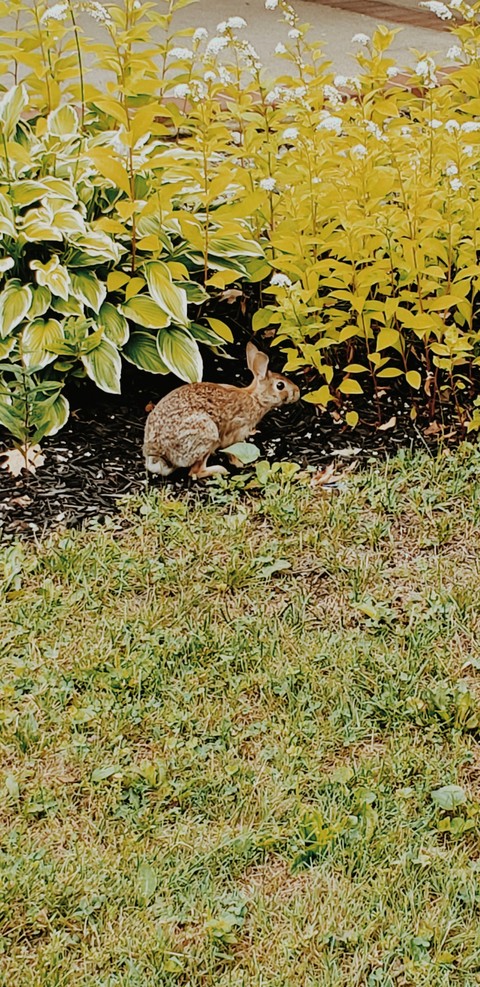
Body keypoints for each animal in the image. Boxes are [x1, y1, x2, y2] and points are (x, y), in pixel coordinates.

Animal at [143, 342, 300, 478]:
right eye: (280, 385)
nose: (298, 392)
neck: (255, 399)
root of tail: (161, 453)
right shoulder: (236, 433)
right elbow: (232, 451)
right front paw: (239, 464)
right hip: (207, 434)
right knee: (195, 472)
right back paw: (220, 470)